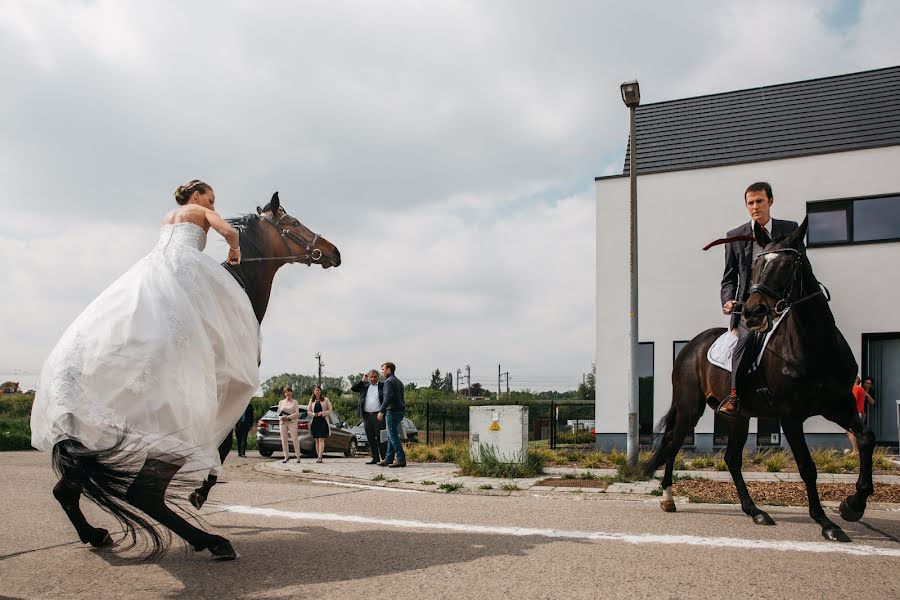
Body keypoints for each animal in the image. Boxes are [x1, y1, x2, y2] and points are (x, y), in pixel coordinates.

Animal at [51, 193, 342, 564]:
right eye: (293, 223)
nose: (333, 251)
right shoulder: (226, 394)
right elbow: (222, 446)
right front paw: (200, 494)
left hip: (87, 439)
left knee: (67, 487)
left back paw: (95, 534)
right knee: (143, 494)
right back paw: (213, 541)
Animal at [644, 218, 876, 540]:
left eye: (789, 263)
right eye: (755, 265)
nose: (753, 311)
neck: (815, 346)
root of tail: (691, 346)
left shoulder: (839, 404)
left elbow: (866, 439)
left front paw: (852, 506)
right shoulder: (791, 415)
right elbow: (807, 466)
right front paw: (826, 523)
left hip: (737, 416)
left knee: (731, 458)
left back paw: (755, 511)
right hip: (691, 407)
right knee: (673, 443)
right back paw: (668, 497)